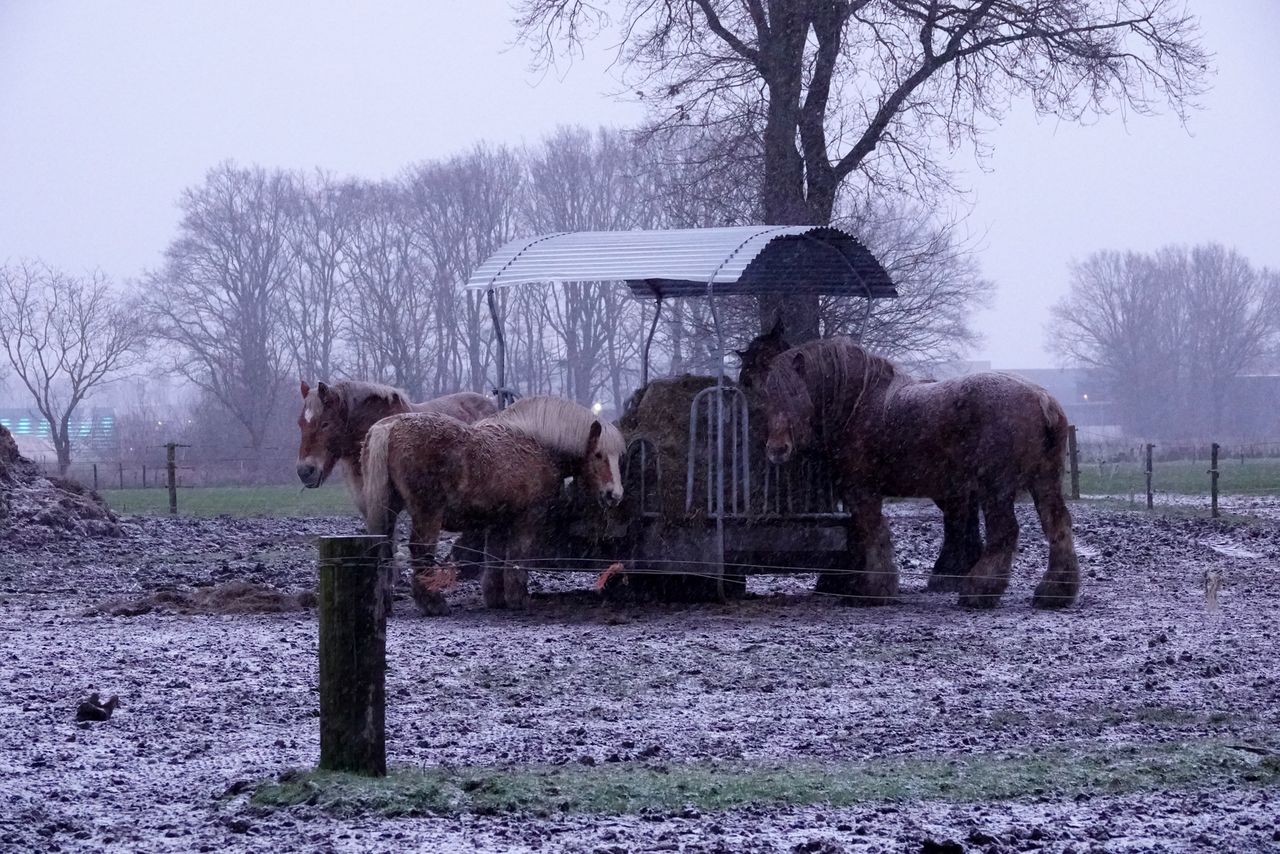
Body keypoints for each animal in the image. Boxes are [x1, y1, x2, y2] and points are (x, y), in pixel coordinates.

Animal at [360, 396, 626, 615]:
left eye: (618, 457)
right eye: (598, 455)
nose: (614, 494)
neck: (539, 444)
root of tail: (389, 427)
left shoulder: (498, 521)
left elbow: (495, 557)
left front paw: (496, 598)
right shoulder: (527, 519)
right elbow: (518, 556)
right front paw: (518, 598)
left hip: (390, 511)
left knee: (385, 548)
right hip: (427, 513)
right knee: (421, 551)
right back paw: (433, 604)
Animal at [757, 337, 1079, 610]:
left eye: (796, 394)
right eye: (768, 397)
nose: (777, 449)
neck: (858, 405)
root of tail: (1042, 399)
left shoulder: (861, 490)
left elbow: (872, 533)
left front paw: (873, 590)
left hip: (995, 488)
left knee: (1005, 532)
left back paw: (978, 591)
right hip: (1044, 482)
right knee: (1058, 526)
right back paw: (1055, 592)